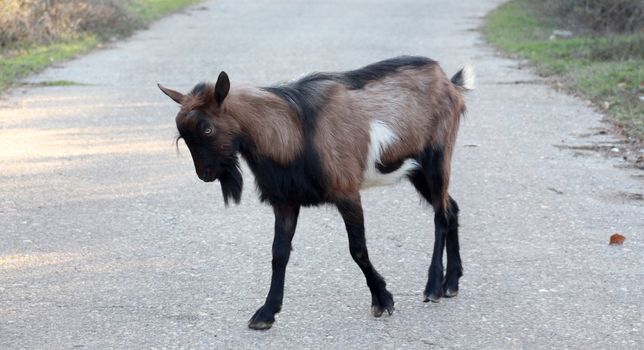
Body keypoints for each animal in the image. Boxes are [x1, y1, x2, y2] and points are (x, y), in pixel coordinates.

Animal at [158, 56, 476, 330]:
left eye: (207, 129)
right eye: (183, 135)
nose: (205, 174)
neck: (294, 133)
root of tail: (450, 83)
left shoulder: (346, 191)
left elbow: (357, 249)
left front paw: (383, 299)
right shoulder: (285, 200)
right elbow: (279, 253)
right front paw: (266, 313)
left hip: (436, 158)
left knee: (440, 215)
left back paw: (433, 286)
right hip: (417, 171)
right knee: (451, 207)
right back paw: (451, 283)